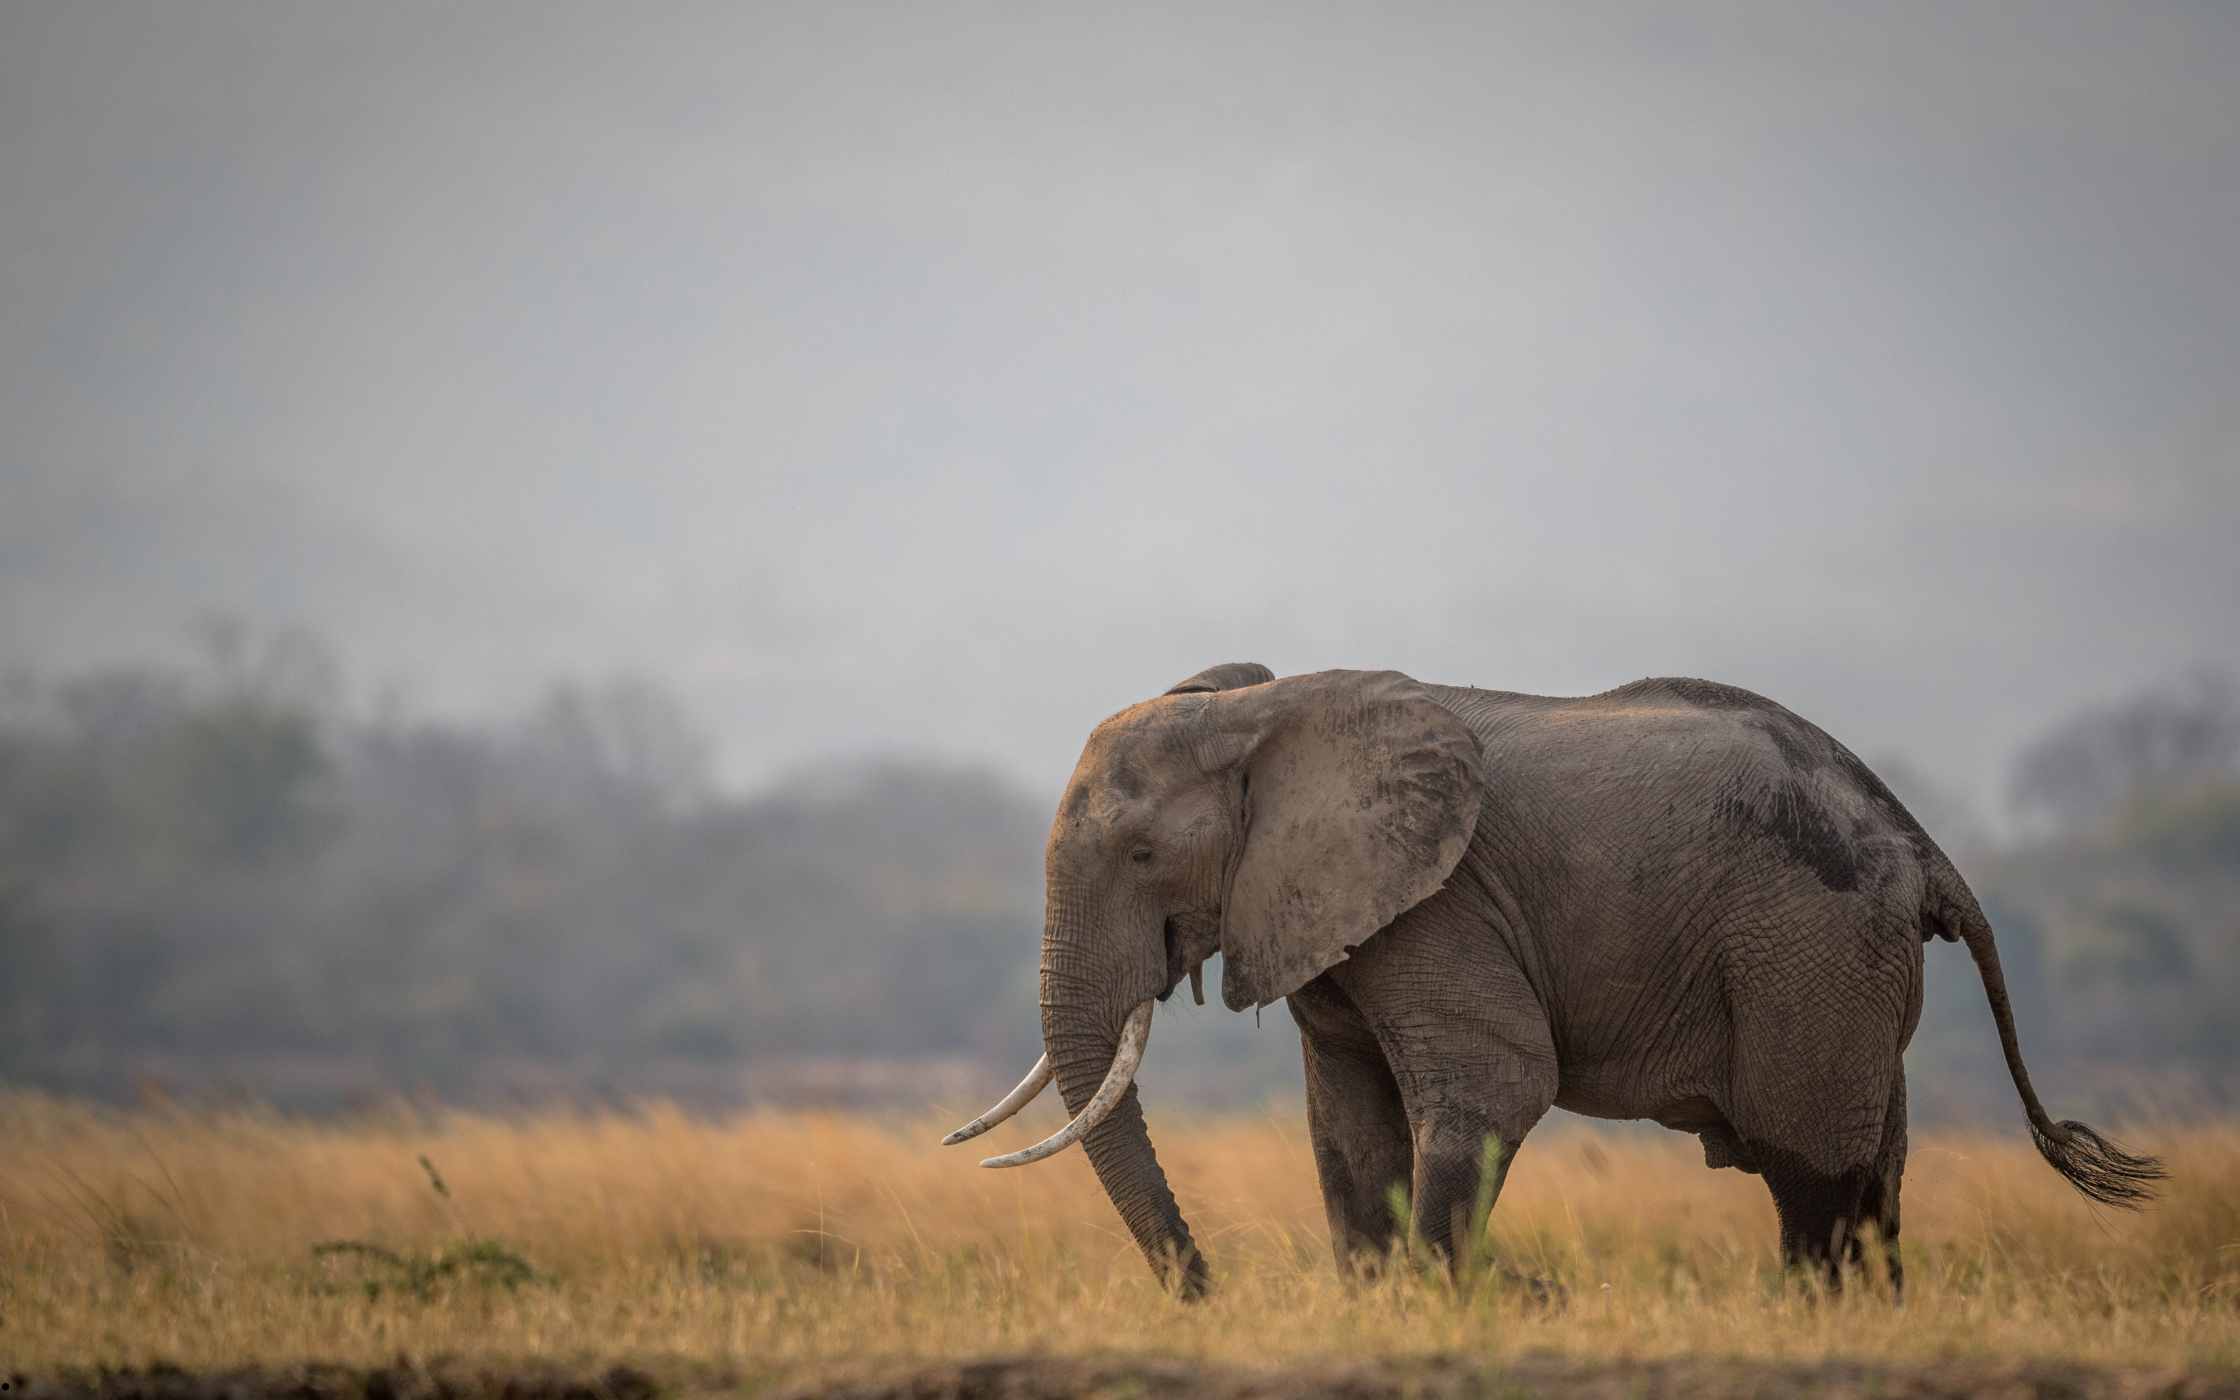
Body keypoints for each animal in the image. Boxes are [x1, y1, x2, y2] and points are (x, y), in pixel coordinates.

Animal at [940, 658, 2150, 1290]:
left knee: (1811, 1170)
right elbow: (1347, 1126)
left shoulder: (1439, 905)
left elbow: (1492, 1085)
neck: (1264, 709)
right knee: (1876, 1180)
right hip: (1849, 966)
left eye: (1143, 857)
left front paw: (1446, 1300)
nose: (1208, 1292)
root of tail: (1921, 845)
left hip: (1809, 947)